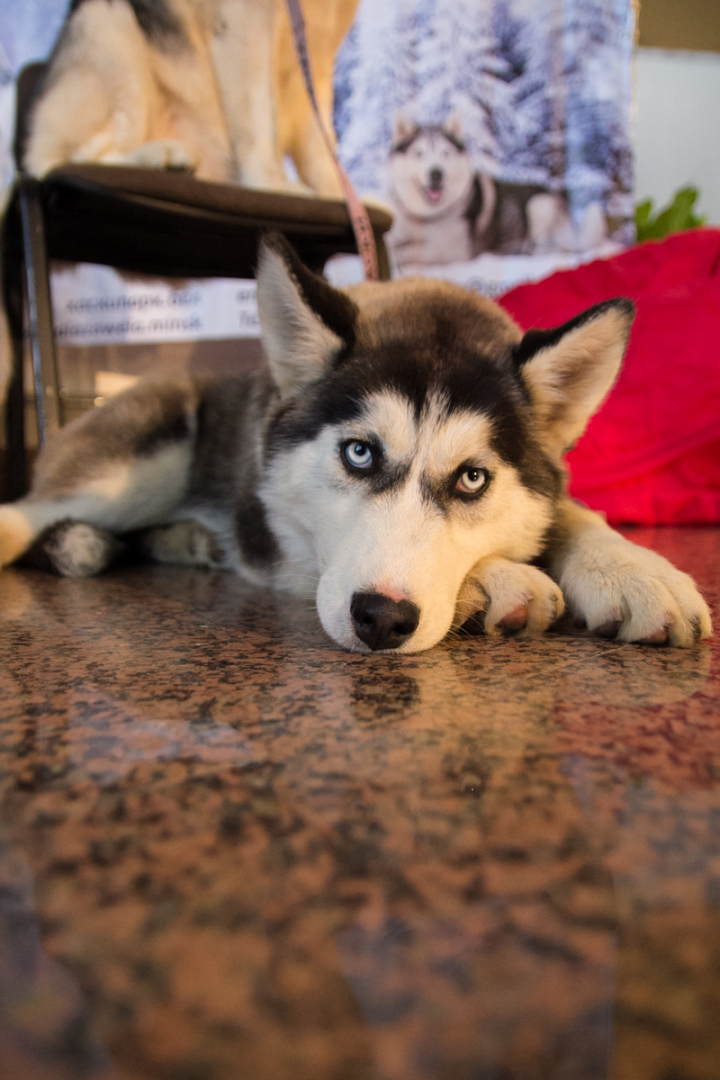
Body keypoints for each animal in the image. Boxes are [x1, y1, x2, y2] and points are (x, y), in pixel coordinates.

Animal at [0, 236, 708, 652]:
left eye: (472, 478)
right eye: (359, 452)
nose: (382, 619)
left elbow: (572, 513)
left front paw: (634, 570)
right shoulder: (285, 546)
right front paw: (496, 579)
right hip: (143, 461)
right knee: (26, 514)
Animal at [23, 0, 358, 196]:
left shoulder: (319, 57)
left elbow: (322, 147)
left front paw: (340, 198)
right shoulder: (246, 23)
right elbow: (261, 125)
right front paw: (272, 187)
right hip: (109, 23)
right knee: (78, 158)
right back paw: (160, 156)